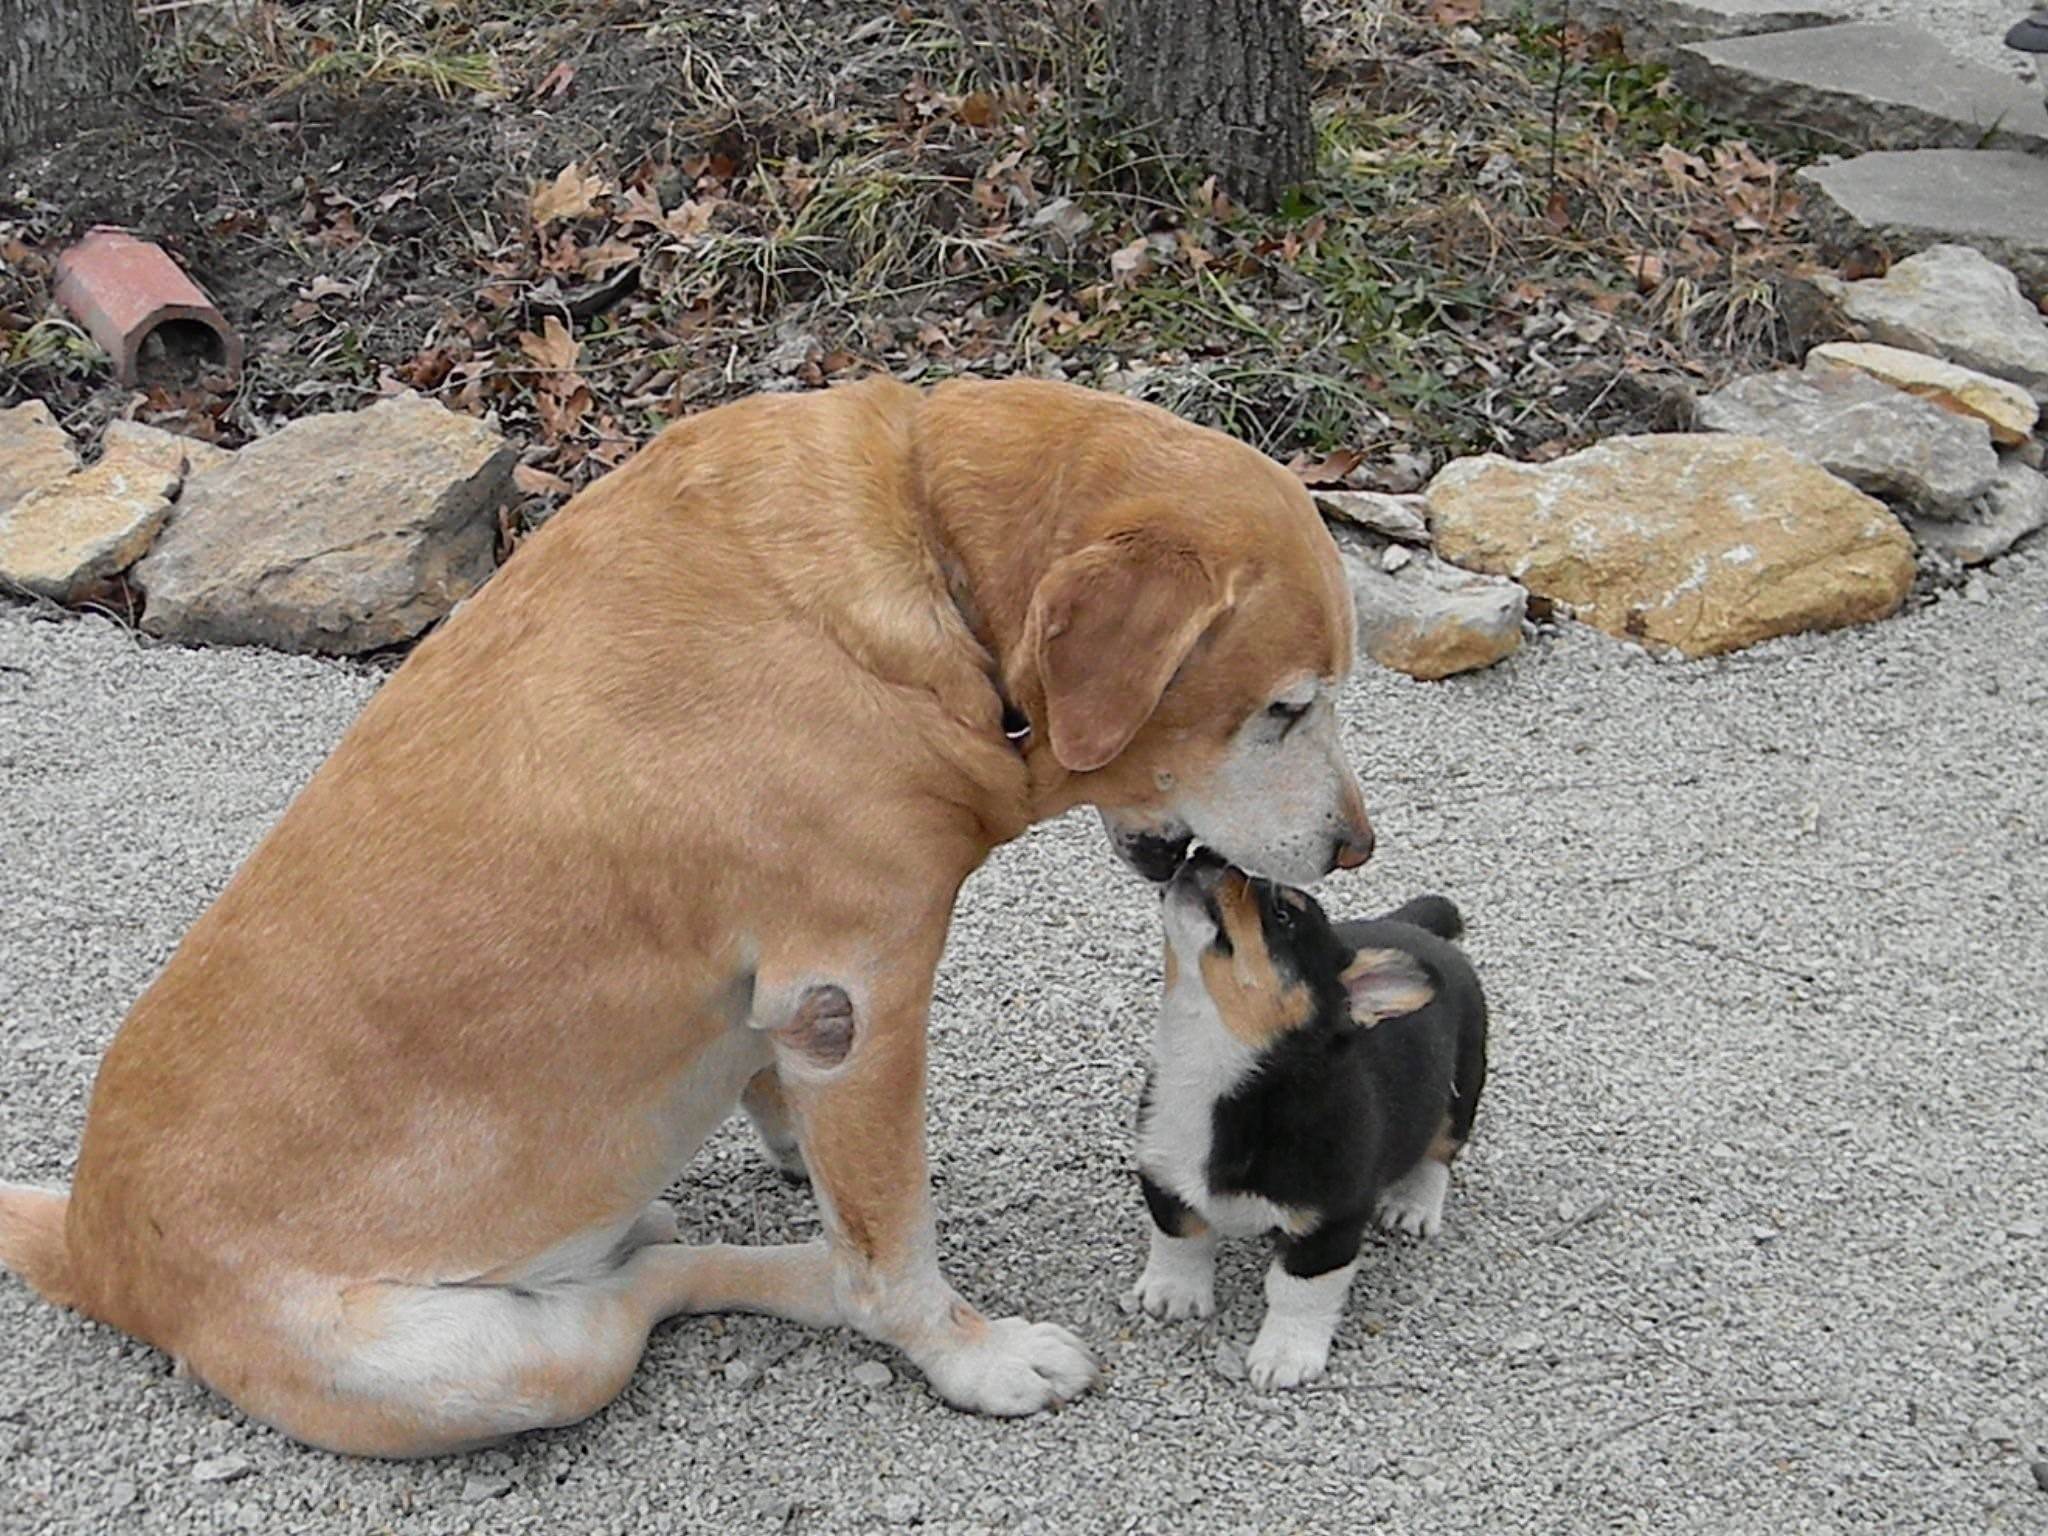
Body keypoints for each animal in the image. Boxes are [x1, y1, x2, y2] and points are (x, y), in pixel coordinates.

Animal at [4, 378, 1376, 1458]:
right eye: (1285, 708)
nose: (1355, 850)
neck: (923, 552)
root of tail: (97, 1254)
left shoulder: (798, 1011)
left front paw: (788, 1145)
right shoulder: (856, 1001)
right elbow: (893, 1246)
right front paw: (971, 1359)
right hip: (512, 1364)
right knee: (666, 1290)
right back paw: (780, 1273)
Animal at [1122, 847, 1490, 1392]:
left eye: (1283, 914)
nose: (1204, 852)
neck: (1213, 1062)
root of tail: (1418, 931)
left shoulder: (1329, 1223)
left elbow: (1298, 1292)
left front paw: (1285, 1355)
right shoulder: (1163, 1172)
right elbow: (1180, 1233)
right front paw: (1174, 1292)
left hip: (1461, 1090)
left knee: (1440, 1151)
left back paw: (1413, 1204)